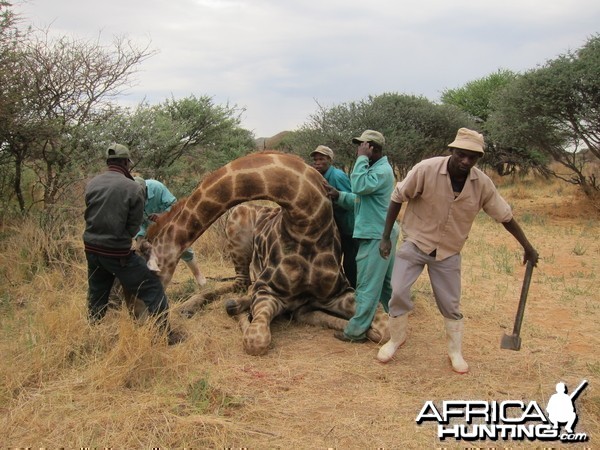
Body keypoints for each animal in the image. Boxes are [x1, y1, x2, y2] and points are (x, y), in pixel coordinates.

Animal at [145, 151, 390, 356]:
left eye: (142, 254)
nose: (145, 317)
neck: (307, 224)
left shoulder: (339, 293)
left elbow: (384, 328)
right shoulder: (267, 291)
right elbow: (256, 339)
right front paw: (239, 311)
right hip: (237, 234)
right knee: (238, 284)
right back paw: (194, 307)